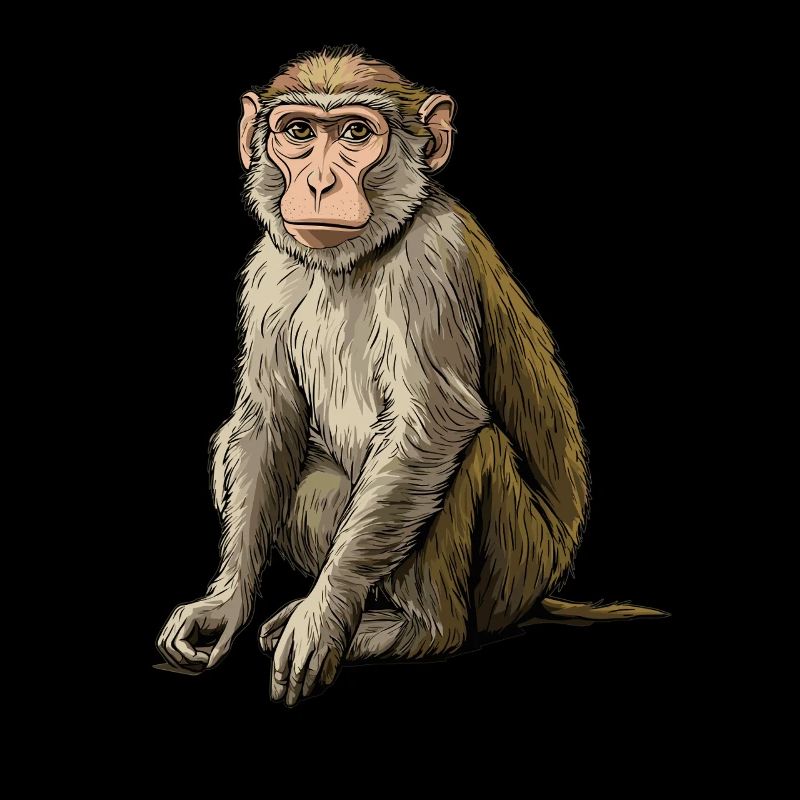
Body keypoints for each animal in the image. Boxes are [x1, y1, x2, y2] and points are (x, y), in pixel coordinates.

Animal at [157, 46, 667, 706]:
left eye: (355, 134)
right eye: (299, 133)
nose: (317, 182)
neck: (358, 255)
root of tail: (541, 589)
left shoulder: (434, 259)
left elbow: (433, 426)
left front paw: (323, 618)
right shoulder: (267, 267)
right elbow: (267, 422)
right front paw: (225, 605)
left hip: (515, 569)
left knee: (471, 450)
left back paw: (418, 631)